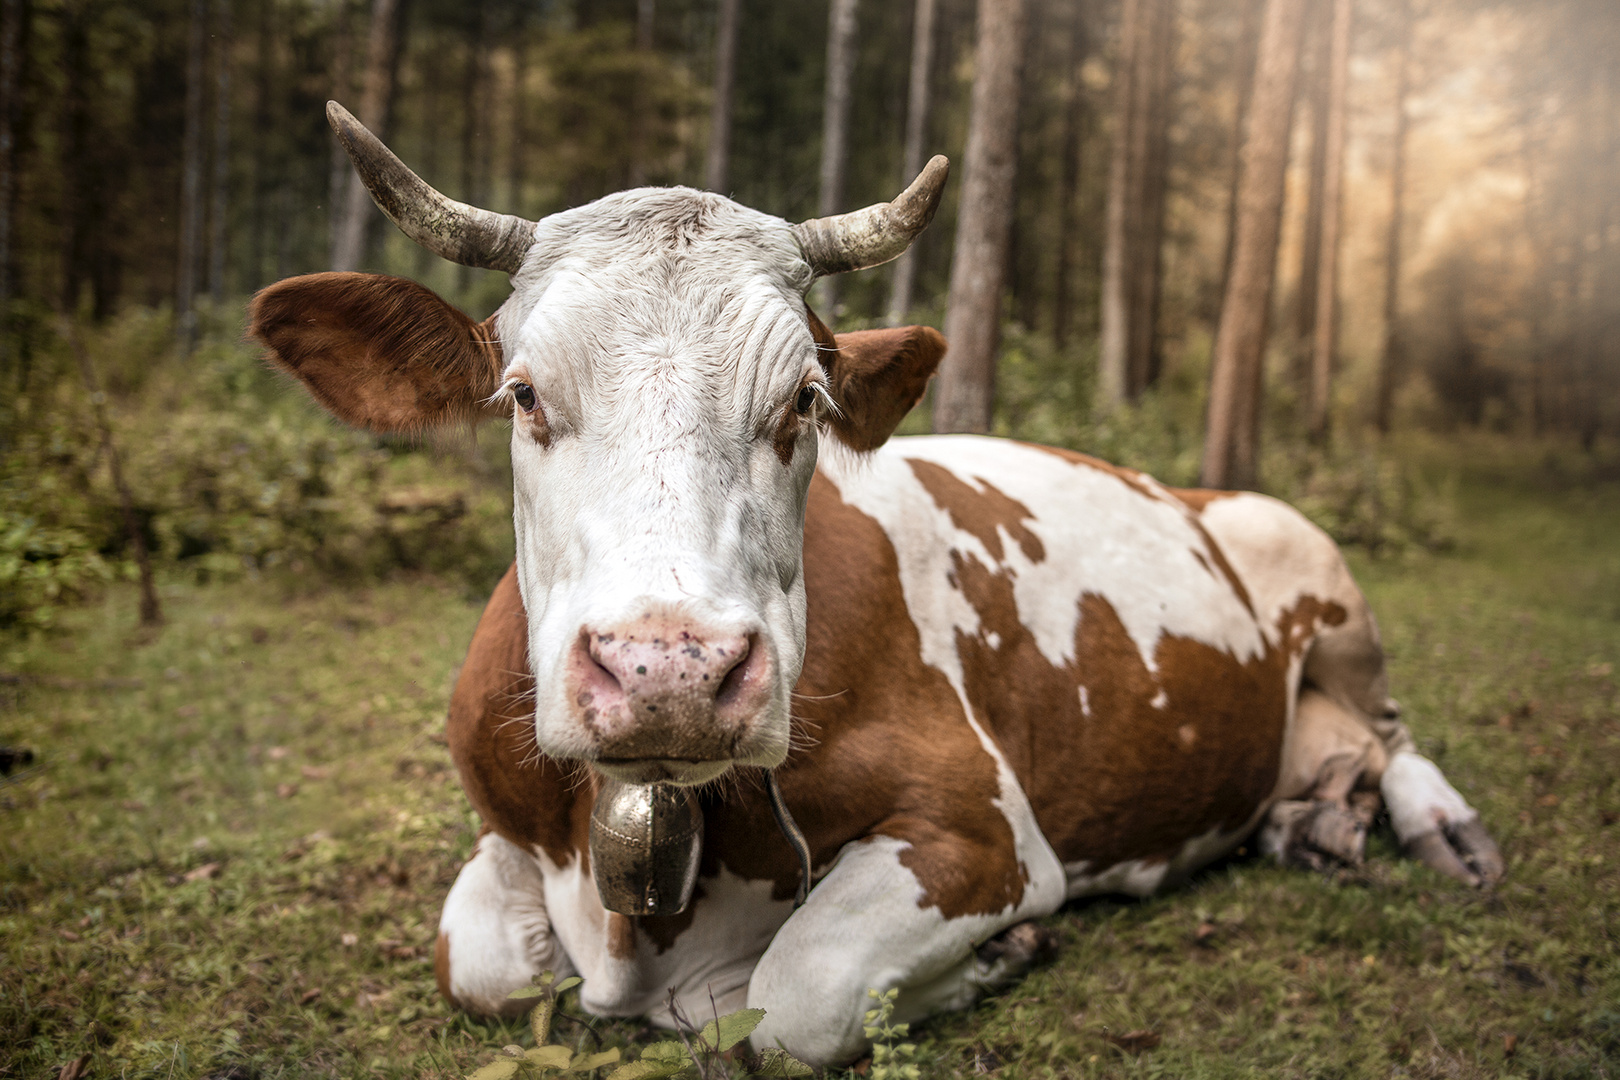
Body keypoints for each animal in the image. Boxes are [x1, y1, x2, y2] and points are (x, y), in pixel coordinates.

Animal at [249, 103, 1503, 1075]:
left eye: (804, 399)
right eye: (521, 394)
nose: (669, 674)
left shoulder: (982, 829)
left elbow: (789, 999)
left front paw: (1002, 954)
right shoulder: (503, 837)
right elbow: (479, 963)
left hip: (1319, 568)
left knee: (1394, 730)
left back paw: (1444, 832)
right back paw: (1314, 816)